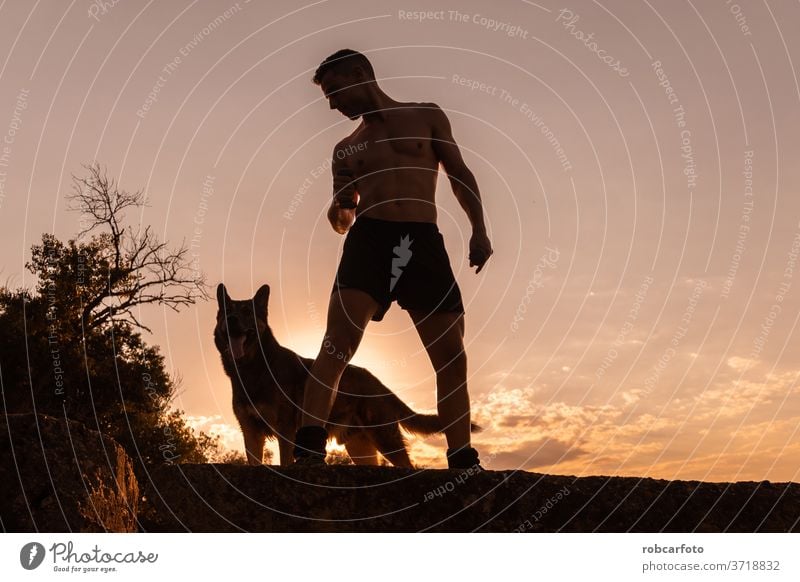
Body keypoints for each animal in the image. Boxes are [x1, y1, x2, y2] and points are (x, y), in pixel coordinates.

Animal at [212, 284, 478, 470]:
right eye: (227, 312)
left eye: (247, 312)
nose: (232, 320)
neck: (252, 368)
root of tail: (380, 383)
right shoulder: (251, 433)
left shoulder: (285, 431)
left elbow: (285, 462)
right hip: (360, 447)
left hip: (385, 438)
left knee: (407, 465)